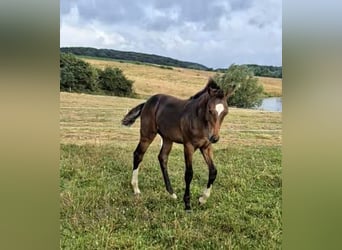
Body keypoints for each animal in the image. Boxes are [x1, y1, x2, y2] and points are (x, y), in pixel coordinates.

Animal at [121, 77, 235, 210]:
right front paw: (187, 204)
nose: (215, 138)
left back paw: (172, 194)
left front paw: (202, 199)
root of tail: (147, 102)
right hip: (147, 134)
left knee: (162, 158)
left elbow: (213, 171)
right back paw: (136, 189)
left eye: (226, 112)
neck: (199, 120)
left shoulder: (206, 146)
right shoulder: (189, 146)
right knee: (138, 154)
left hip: (167, 138)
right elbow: (189, 174)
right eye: (210, 110)